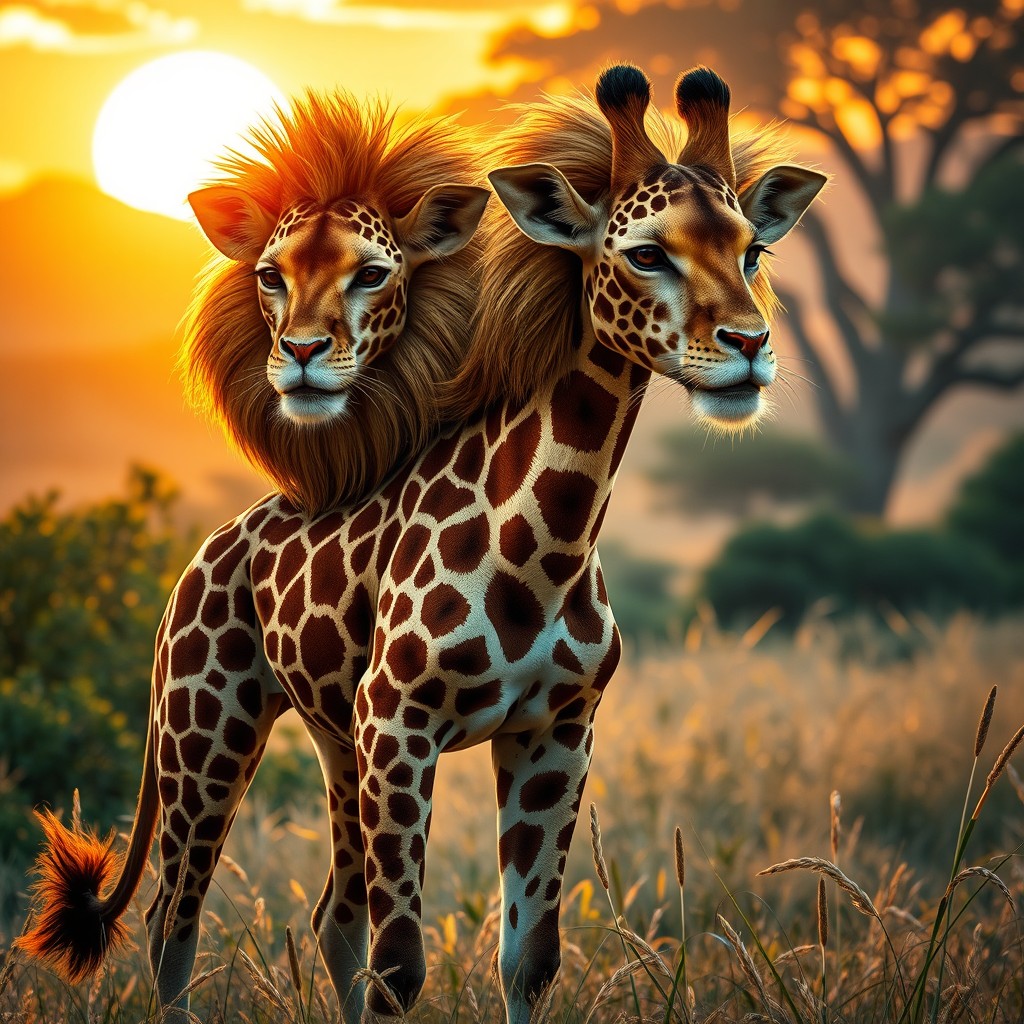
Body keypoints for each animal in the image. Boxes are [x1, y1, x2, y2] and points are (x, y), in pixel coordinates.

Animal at [21, 65, 826, 1024]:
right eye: (643, 253)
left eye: (752, 251)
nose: (749, 348)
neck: (549, 550)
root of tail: (206, 552)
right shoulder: (402, 723)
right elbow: (401, 967)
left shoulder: (556, 729)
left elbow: (528, 959)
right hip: (208, 726)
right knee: (174, 920)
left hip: (335, 741)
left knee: (332, 917)